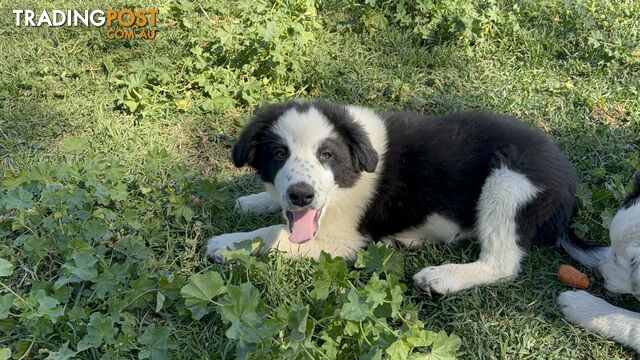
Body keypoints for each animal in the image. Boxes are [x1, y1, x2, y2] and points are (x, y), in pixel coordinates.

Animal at [208, 99, 596, 296]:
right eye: (279, 154)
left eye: (326, 155)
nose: (301, 196)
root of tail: (568, 194)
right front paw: (252, 202)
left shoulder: (345, 240)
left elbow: (274, 236)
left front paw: (227, 243)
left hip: (507, 182)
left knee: (502, 263)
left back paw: (442, 278)